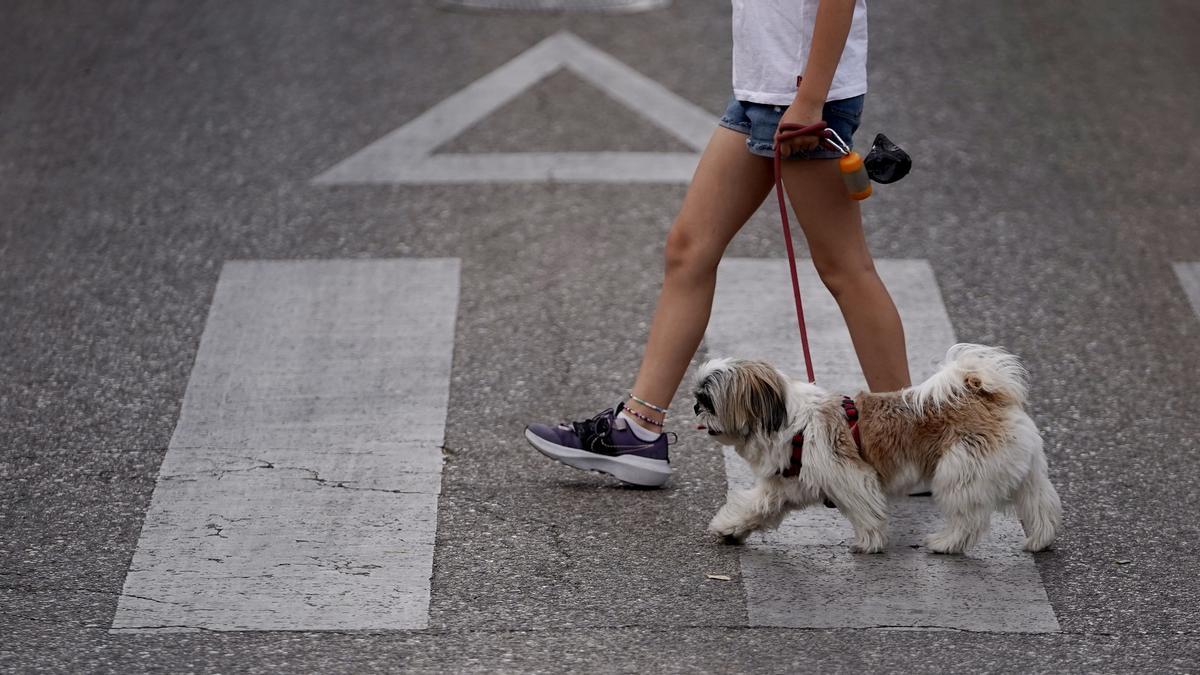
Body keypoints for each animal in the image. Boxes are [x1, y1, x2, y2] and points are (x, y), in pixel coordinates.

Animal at [696, 341, 1060, 552]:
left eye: (709, 400)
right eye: (698, 397)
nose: (696, 407)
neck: (792, 423)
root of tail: (987, 396)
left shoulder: (848, 476)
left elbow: (864, 509)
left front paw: (868, 542)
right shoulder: (782, 487)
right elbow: (755, 507)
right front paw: (730, 528)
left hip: (960, 473)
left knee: (968, 519)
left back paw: (945, 544)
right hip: (1025, 473)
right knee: (1039, 506)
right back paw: (1039, 541)